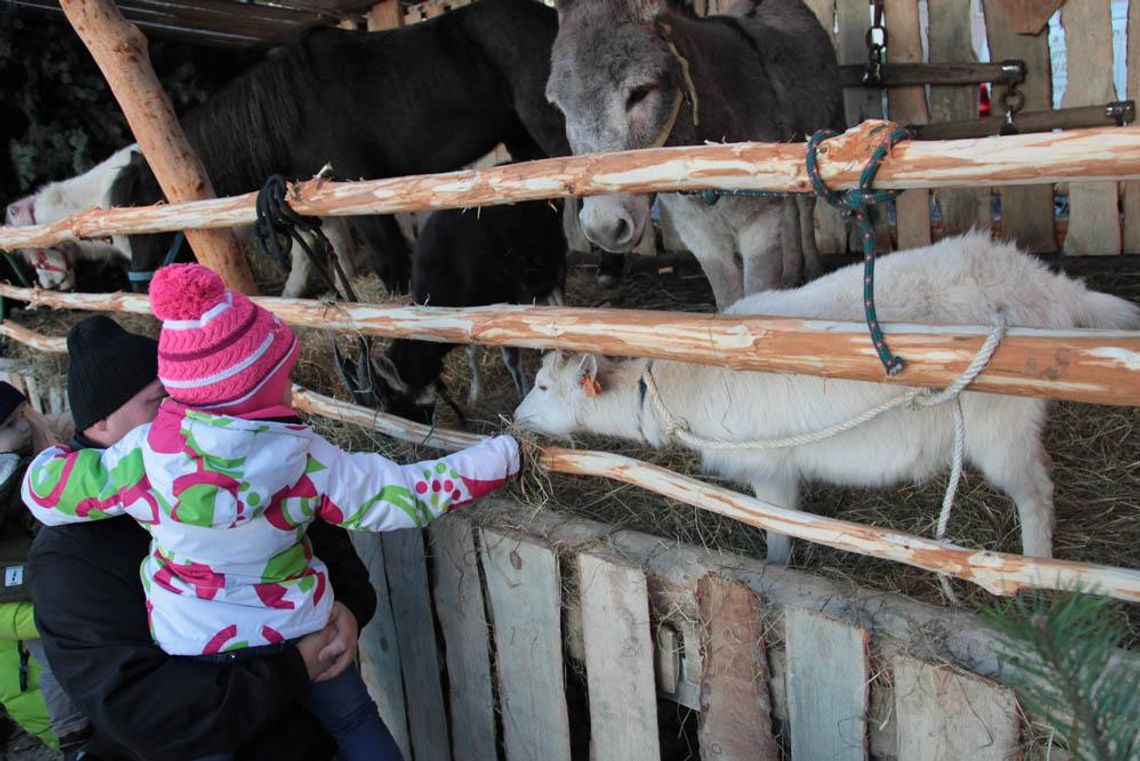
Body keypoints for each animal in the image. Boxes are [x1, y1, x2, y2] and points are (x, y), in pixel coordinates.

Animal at [517, 233, 1140, 565]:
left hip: (1002, 423)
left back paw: (1036, 569)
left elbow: (778, 526)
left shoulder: (768, 466)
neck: (672, 385)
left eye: (544, 386)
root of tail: (1050, 285)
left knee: (1036, 493)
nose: (517, 418)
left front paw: (776, 566)